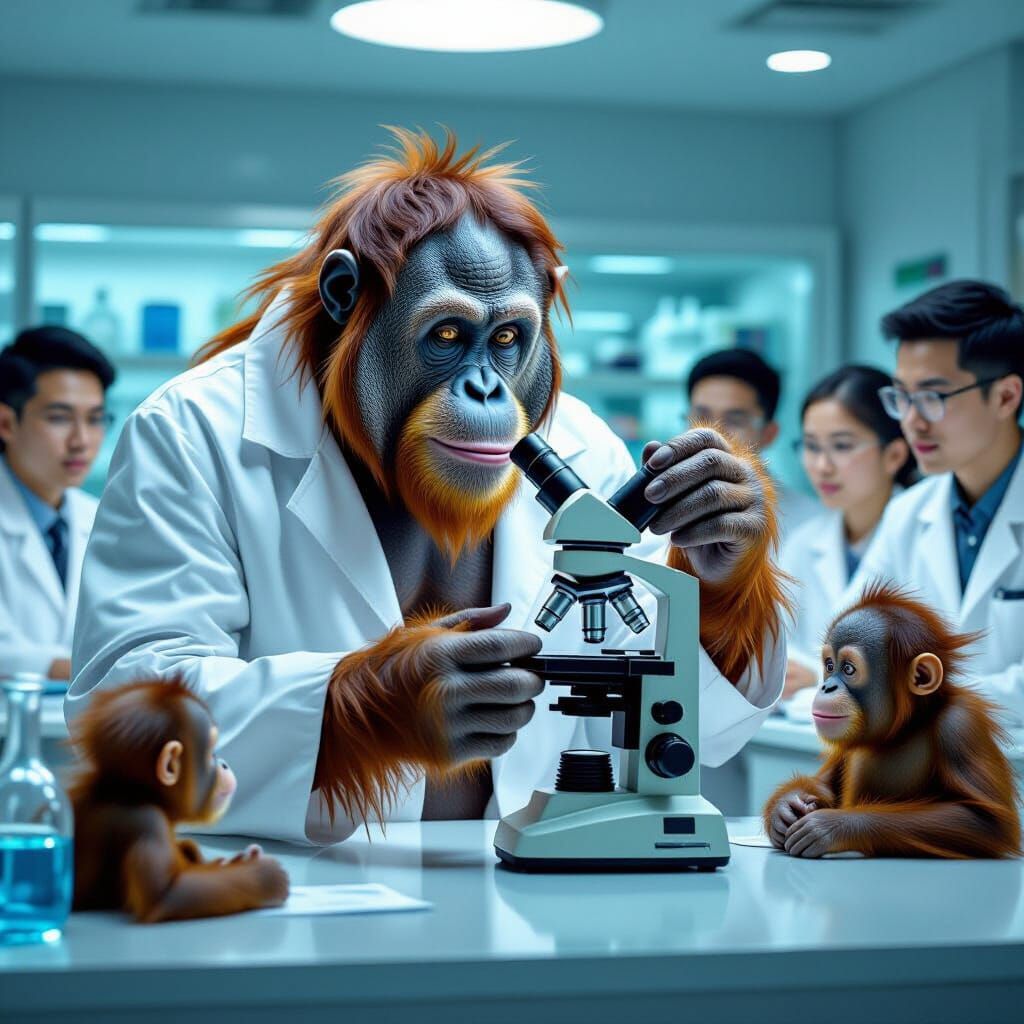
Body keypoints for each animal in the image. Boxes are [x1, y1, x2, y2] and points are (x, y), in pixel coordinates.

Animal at [69, 679, 290, 921]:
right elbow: (165, 896)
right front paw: (266, 876)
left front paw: (240, 859)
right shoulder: (147, 823)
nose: (224, 764)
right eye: (210, 752)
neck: (138, 792)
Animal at [764, 582, 1022, 858]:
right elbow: (823, 785)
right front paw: (785, 808)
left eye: (848, 669)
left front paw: (831, 826)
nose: (826, 687)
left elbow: (985, 820)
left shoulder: (960, 725)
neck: (904, 728)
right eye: (830, 665)